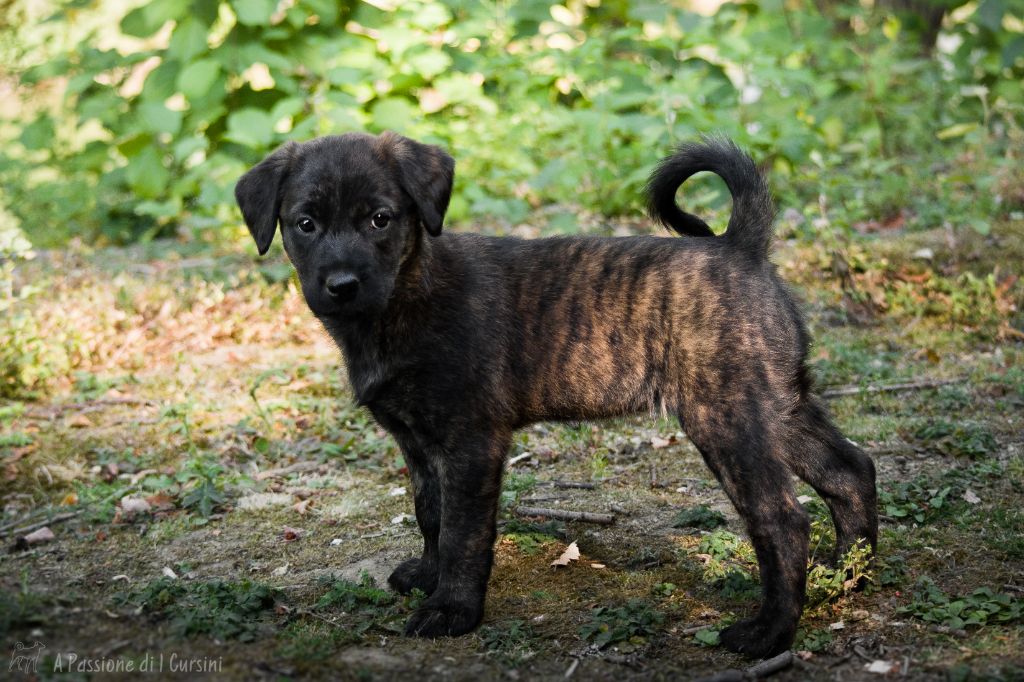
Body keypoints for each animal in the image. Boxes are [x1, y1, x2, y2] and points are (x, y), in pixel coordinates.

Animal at [235, 132, 877, 658]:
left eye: (380, 219)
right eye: (305, 224)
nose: (341, 285)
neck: (402, 298)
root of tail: (741, 247)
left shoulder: (471, 443)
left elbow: (464, 531)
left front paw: (453, 610)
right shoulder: (418, 443)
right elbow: (430, 514)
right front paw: (426, 576)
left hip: (727, 417)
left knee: (783, 518)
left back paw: (769, 633)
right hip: (777, 404)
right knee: (850, 469)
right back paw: (849, 576)